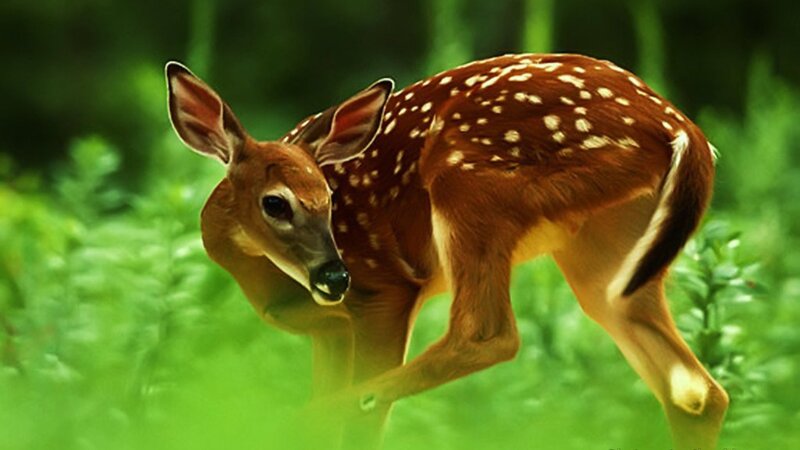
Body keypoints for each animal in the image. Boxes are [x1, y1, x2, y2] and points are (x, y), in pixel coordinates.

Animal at [165, 53, 728, 449]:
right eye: (275, 203)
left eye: (328, 198)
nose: (334, 277)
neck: (276, 287)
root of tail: (680, 128)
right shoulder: (329, 330)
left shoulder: (385, 289)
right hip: (608, 254)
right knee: (695, 392)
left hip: (468, 184)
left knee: (485, 335)